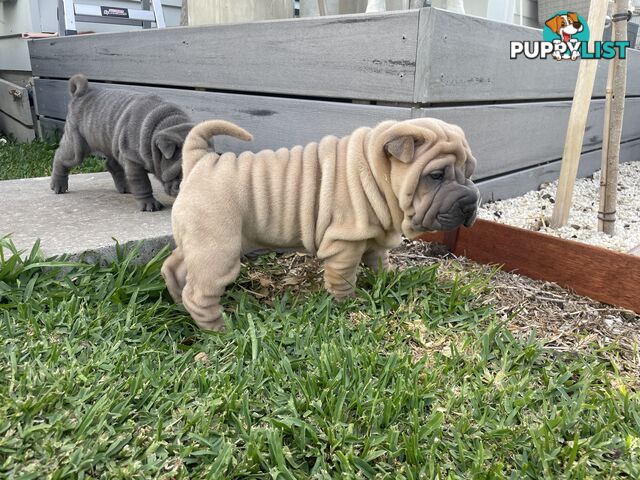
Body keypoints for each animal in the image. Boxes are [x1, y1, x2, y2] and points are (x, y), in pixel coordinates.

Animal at [162, 118, 478, 332]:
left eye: (470, 171)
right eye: (436, 176)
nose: (471, 202)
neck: (375, 172)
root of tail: (199, 161)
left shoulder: (373, 232)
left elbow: (378, 258)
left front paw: (389, 277)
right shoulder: (345, 243)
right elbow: (344, 276)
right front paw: (349, 302)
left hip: (199, 242)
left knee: (175, 267)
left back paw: (178, 301)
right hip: (217, 249)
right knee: (199, 293)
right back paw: (220, 330)